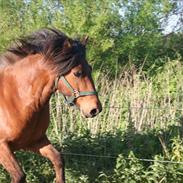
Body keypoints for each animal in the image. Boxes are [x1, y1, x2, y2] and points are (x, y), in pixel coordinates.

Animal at [0, 27, 101, 182]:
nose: (95, 109)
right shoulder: (3, 147)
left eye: (90, 69)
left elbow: (58, 159)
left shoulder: (35, 141)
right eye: (77, 73)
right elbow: (19, 175)